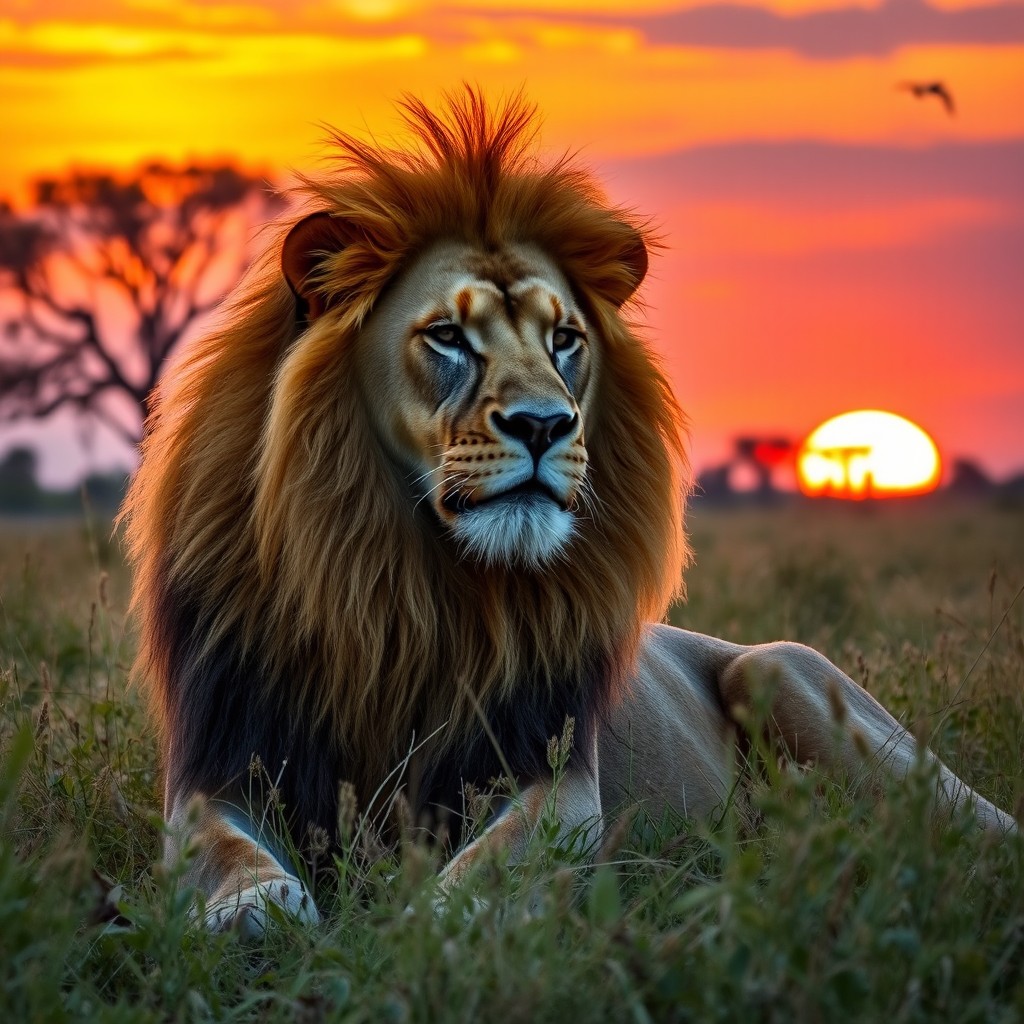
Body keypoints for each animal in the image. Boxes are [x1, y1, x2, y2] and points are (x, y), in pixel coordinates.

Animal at [122, 89, 1015, 936]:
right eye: (447, 335)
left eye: (565, 340)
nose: (546, 425)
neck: (398, 585)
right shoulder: (219, 764)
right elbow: (223, 849)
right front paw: (253, 910)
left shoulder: (555, 772)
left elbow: (503, 859)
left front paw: (437, 922)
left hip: (780, 672)